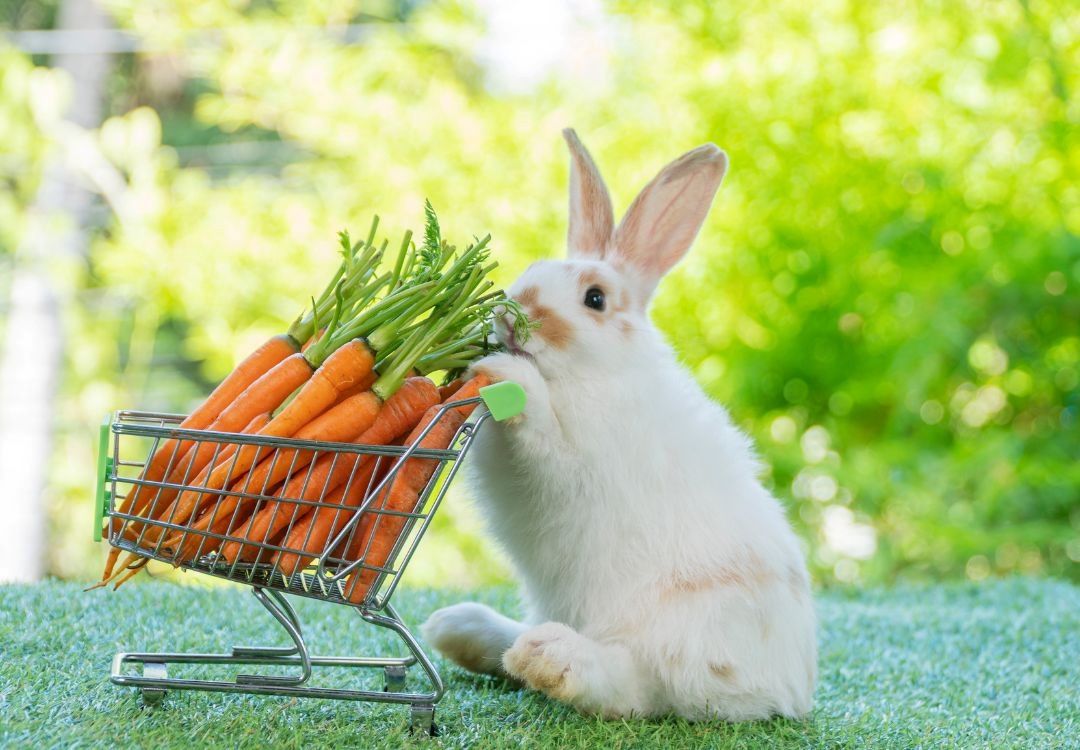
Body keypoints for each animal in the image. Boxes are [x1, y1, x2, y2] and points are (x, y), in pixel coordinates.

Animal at [421, 129, 817, 722]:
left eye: (595, 299)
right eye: (533, 271)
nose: (513, 315)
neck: (586, 377)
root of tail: (792, 689)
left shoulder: (575, 460)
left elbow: (543, 432)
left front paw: (508, 374)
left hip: (680, 637)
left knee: (634, 687)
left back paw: (547, 656)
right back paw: (461, 630)